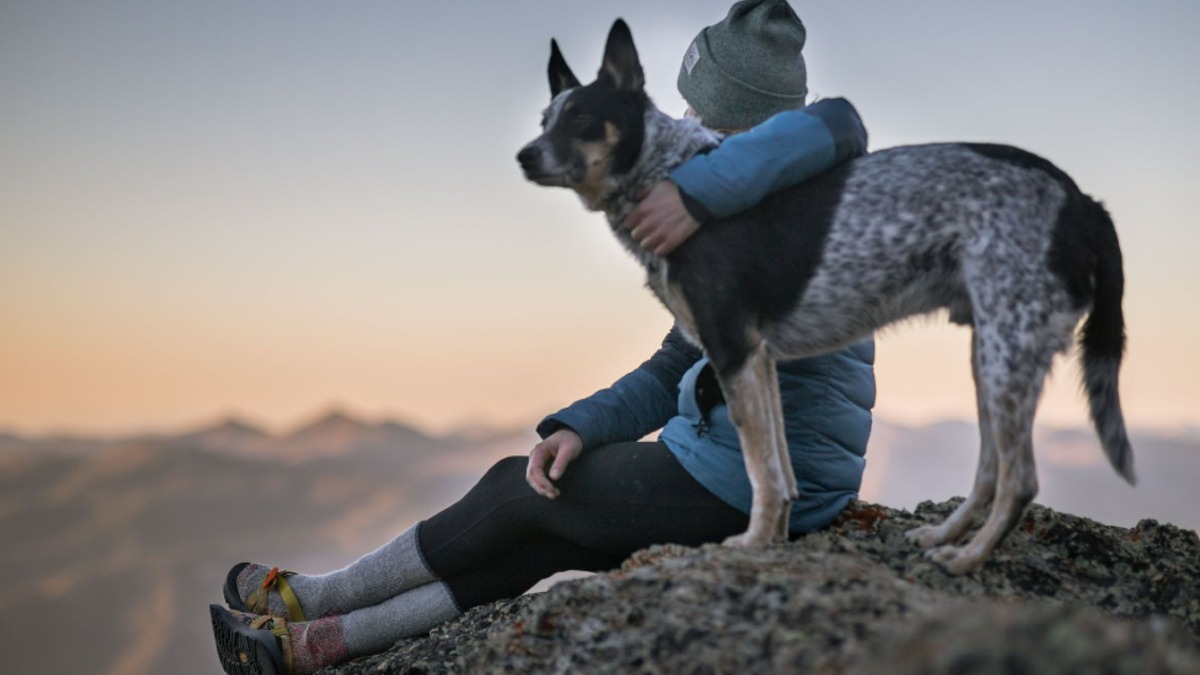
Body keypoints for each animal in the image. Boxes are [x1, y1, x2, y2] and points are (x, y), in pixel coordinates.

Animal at [518, 18, 1132, 569]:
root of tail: (1084, 202)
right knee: (988, 470)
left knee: (1020, 479)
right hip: (993, 358)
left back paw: (968, 559)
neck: (663, 172)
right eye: (545, 119)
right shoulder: (758, 360)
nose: (525, 155)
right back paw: (942, 537)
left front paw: (749, 546)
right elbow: (780, 470)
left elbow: (760, 469)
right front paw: (772, 540)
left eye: (581, 118)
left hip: (1009, 355)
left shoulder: (732, 350)